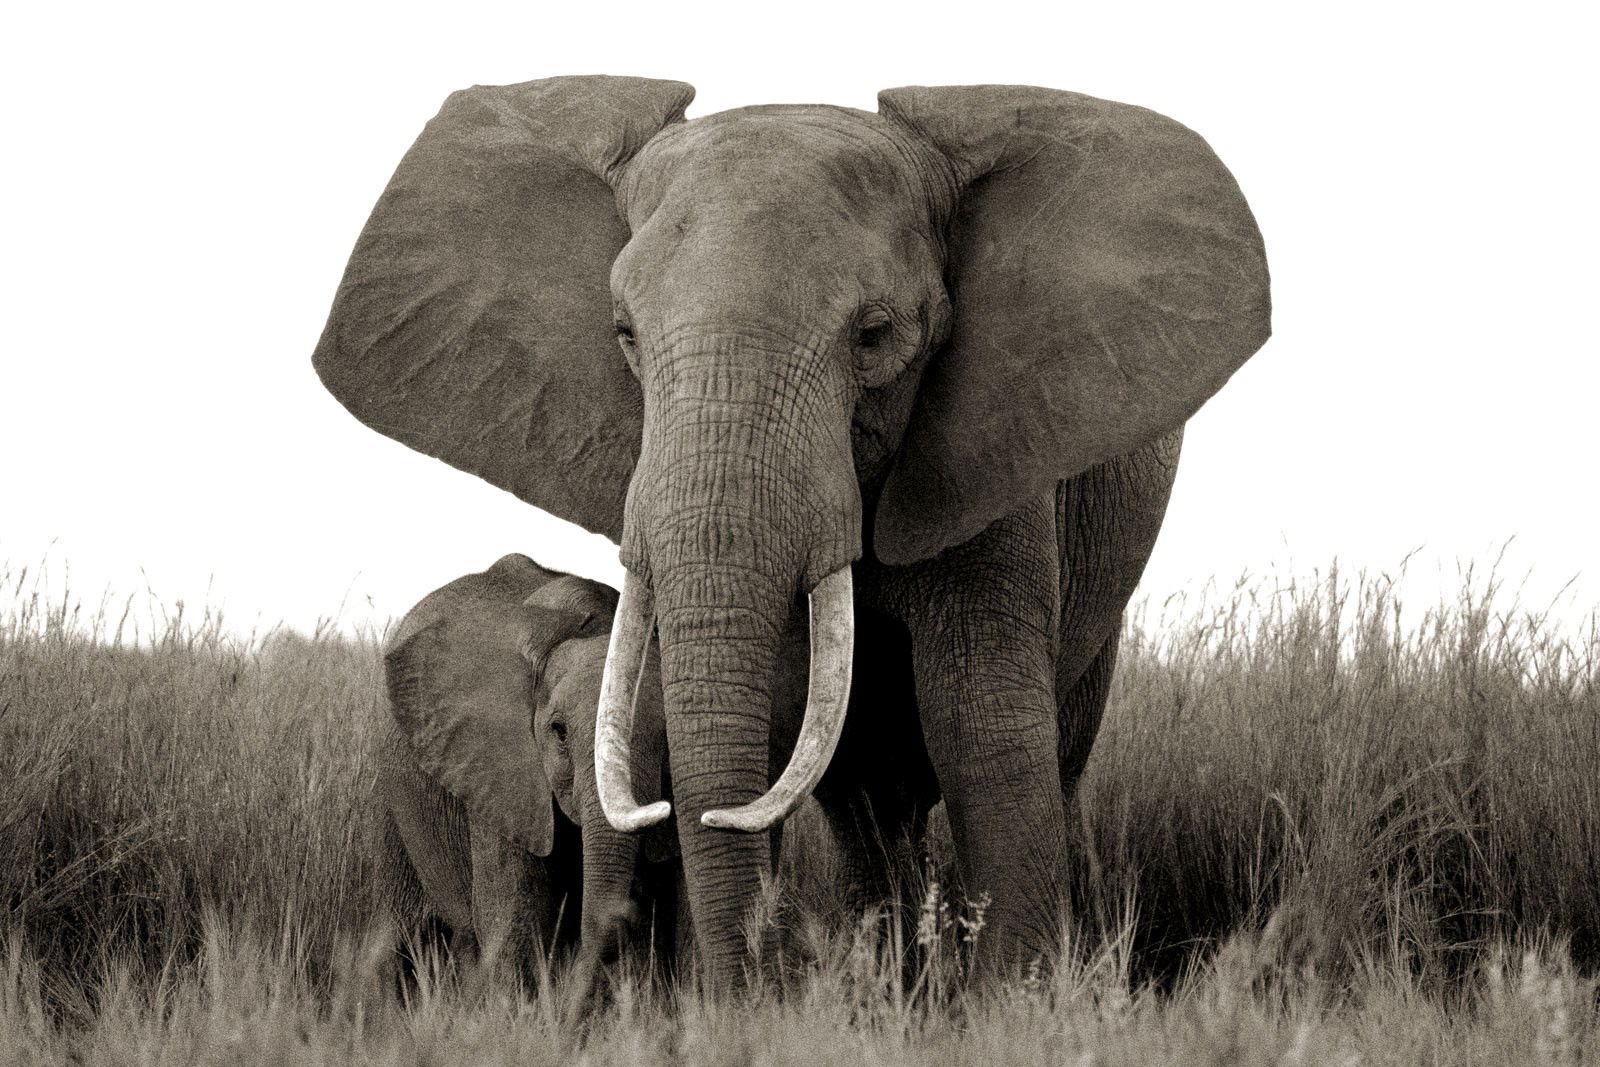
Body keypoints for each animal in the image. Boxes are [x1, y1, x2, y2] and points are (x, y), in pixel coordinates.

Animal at [371, 552, 686, 989]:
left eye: (666, 735)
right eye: (559, 731)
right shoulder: (495, 769)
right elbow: (514, 920)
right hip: (395, 801)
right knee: (402, 934)